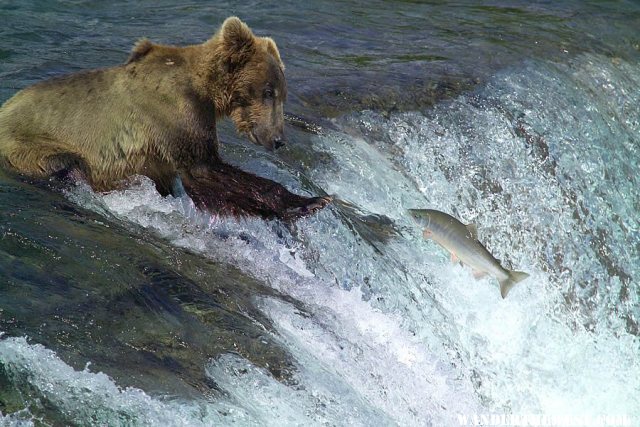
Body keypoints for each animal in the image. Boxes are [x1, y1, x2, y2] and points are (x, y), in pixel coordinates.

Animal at [0, 16, 330, 221]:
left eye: (281, 94)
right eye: (268, 91)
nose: (278, 139)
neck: (205, 91)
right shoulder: (174, 115)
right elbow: (205, 169)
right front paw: (308, 202)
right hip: (29, 144)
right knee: (66, 164)